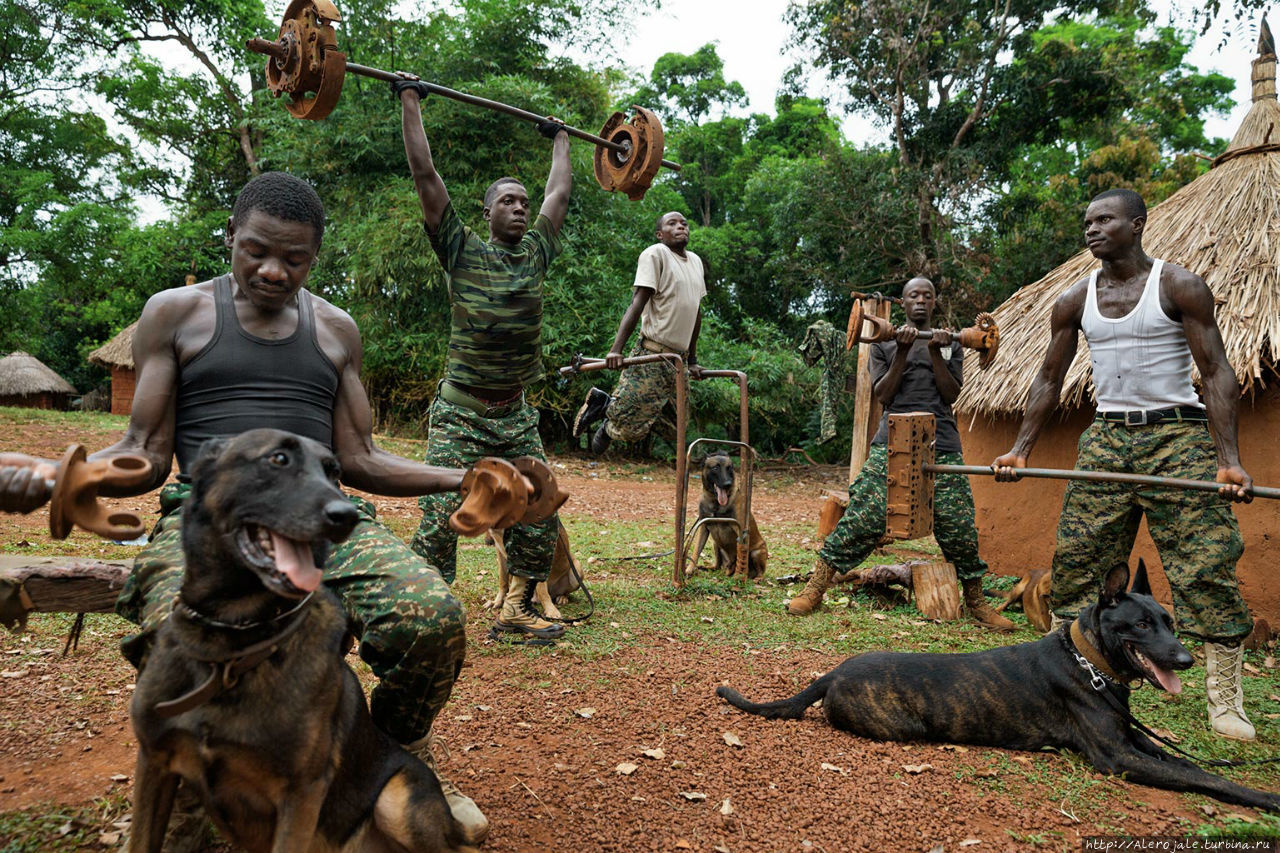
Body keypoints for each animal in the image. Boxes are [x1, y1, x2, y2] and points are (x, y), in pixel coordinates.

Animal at [691, 450, 768, 578]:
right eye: (715, 468)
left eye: (729, 468)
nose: (727, 484)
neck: (716, 503)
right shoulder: (704, 527)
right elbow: (696, 551)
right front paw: (688, 570)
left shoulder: (740, 530)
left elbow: (741, 552)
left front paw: (739, 576)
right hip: (716, 543)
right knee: (717, 565)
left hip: (757, 552)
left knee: (760, 572)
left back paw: (754, 577)